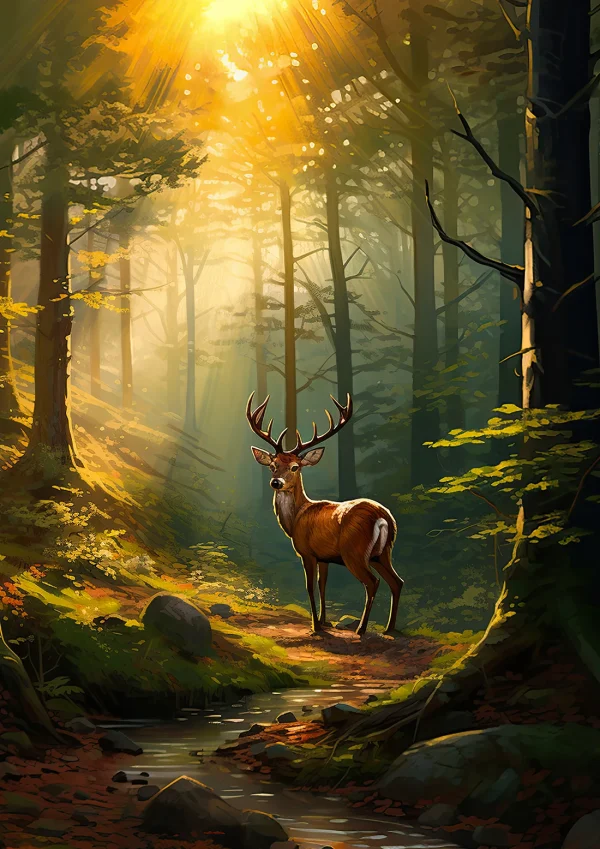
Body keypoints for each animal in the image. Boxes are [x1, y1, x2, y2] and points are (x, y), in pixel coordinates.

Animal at [247, 392, 404, 636]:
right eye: (272, 465)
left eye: (295, 467)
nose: (276, 482)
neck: (296, 519)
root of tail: (383, 517)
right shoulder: (324, 557)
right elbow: (323, 585)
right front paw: (324, 621)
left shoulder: (306, 552)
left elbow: (310, 587)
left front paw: (316, 626)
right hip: (383, 552)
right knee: (397, 582)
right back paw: (389, 629)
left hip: (354, 551)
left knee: (372, 582)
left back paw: (361, 629)